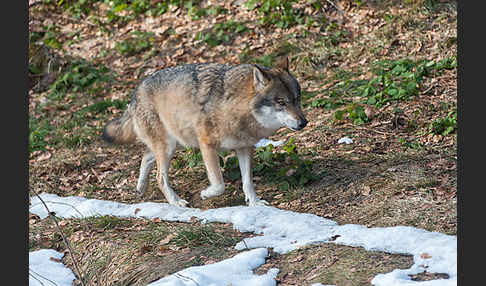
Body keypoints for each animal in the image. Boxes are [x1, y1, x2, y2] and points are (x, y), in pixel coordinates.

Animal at [102, 56, 308, 208]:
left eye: (297, 98)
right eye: (281, 102)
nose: (304, 122)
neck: (236, 106)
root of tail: (136, 92)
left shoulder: (244, 148)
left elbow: (248, 181)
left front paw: (255, 203)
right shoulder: (207, 145)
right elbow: (219, 184)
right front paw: (205, 194)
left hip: (172, 144)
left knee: (145, 157)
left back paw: (140, 188)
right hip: (168, 147)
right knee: (160, 177)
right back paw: (176, 202)